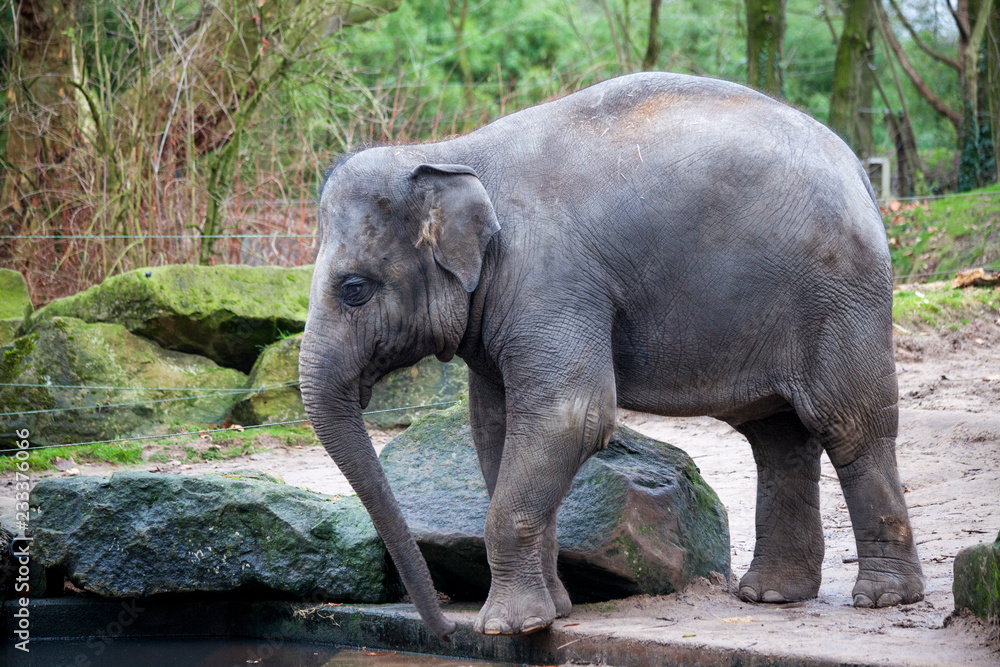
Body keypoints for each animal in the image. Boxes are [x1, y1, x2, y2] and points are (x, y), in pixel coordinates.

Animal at [299, 72, 925, 641]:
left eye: (353, 289)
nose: (444, 633)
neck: (446, 152)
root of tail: (861, 173)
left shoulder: (553, 281)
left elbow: (569, 416)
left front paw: (505, 628)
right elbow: (494, 427)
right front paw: (553, 612)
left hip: (839, 296)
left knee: (848, 424)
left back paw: (883, 599)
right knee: (777, 436)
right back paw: (770, 595)